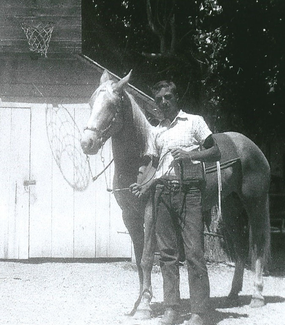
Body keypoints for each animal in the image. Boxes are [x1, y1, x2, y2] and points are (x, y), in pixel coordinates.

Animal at [80, 71, 270, 318]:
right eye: (91, 103)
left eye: (112, 105)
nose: (87, 143)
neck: (141, 160)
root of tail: (253, 147)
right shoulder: (129, 216)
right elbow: (139, 260)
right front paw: (140, 302)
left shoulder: (150, 212)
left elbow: (146, 258)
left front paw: (144, 306)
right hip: (230, 208)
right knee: (239, 246)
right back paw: (232, 294)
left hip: (255, 204)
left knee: (257, 243)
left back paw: (257, 296)